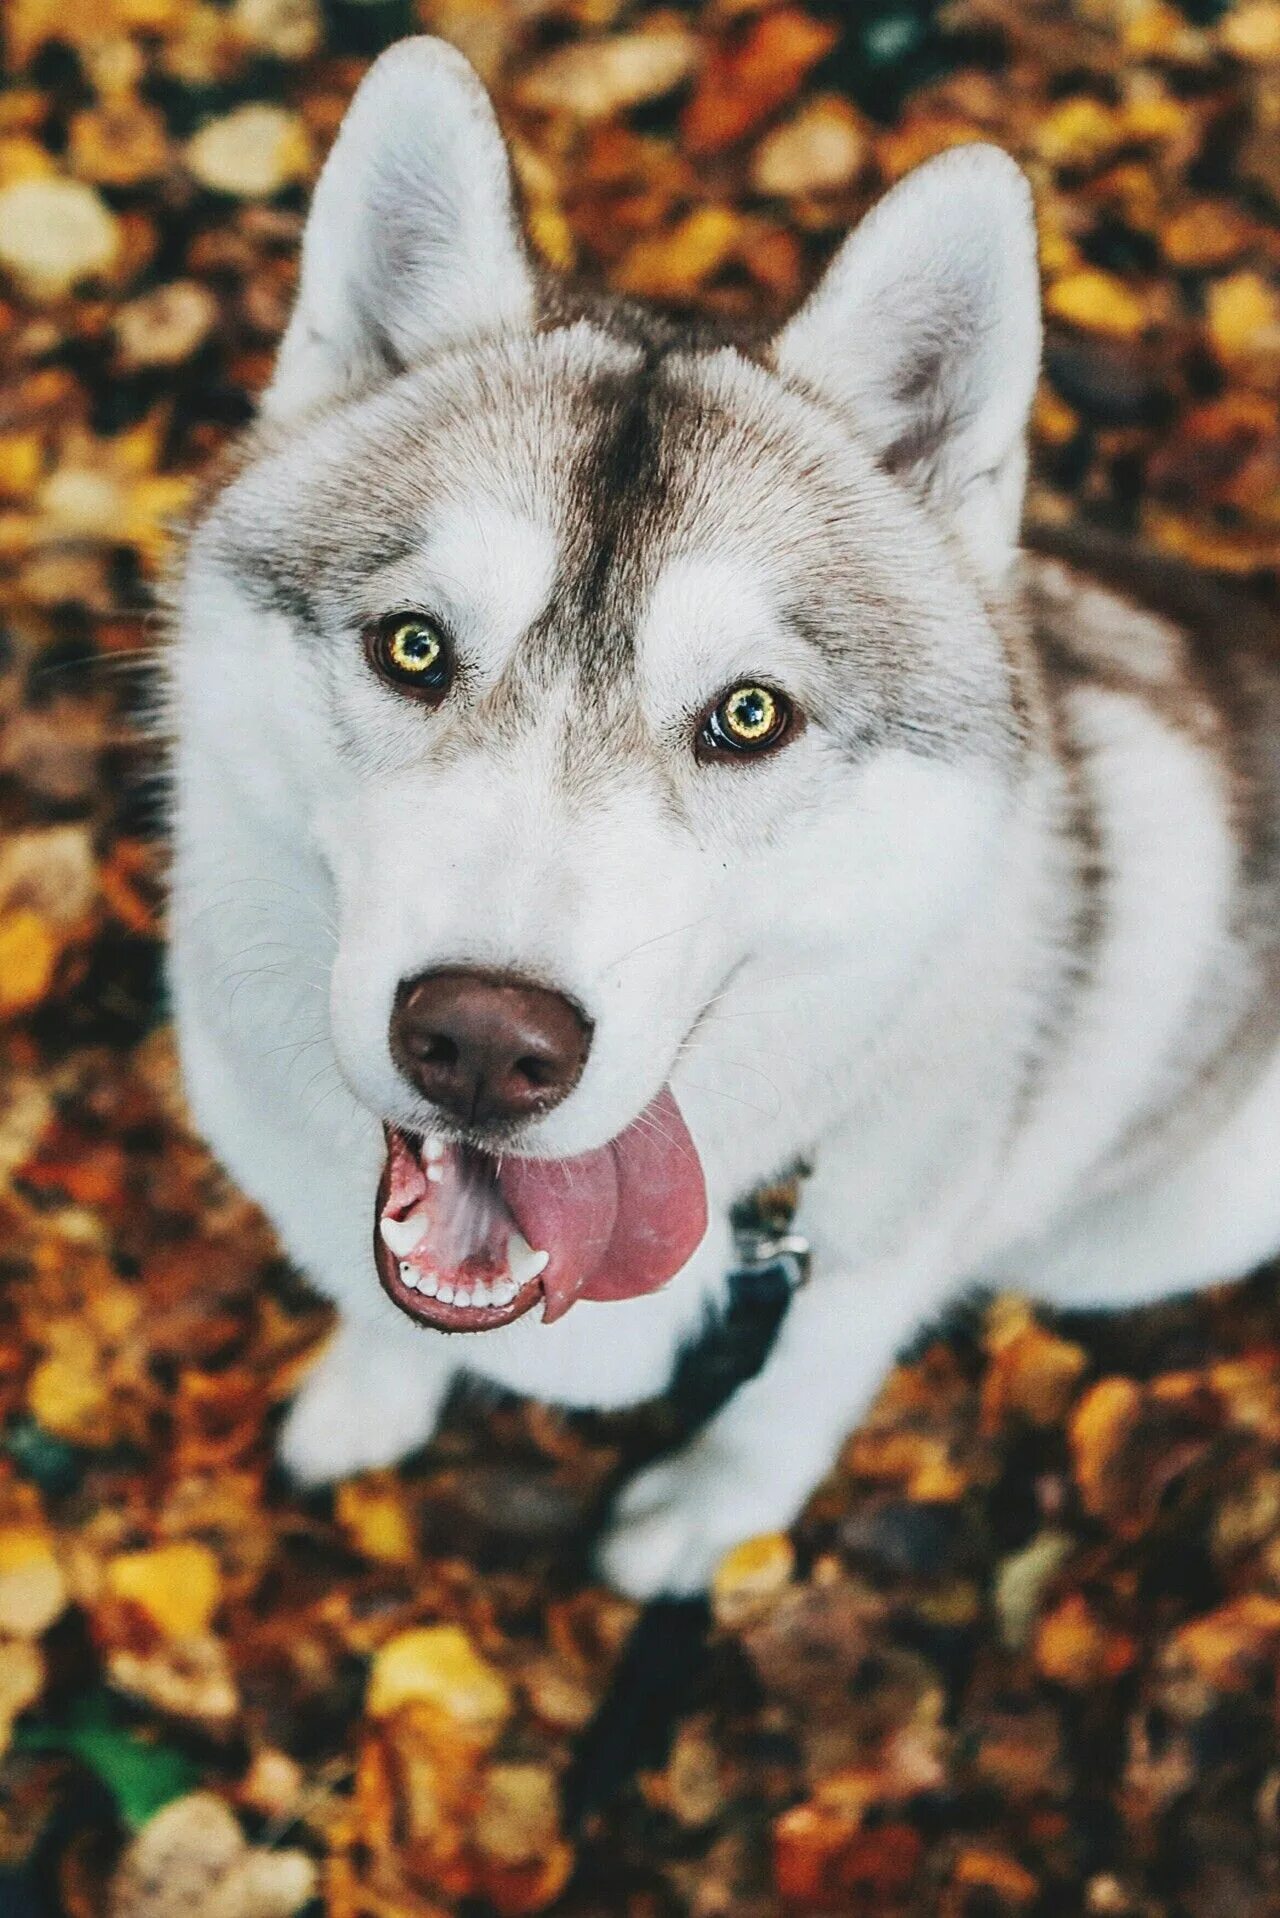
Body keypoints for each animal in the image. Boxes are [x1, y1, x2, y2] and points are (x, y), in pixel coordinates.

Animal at [167, 37, 1280, 1603]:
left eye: (749, 715)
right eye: (412, 647)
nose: (485, 1042)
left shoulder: (864, 1266)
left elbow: (792, 1396)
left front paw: (708, 1514)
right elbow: (390, 1315)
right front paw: (369, 1393)